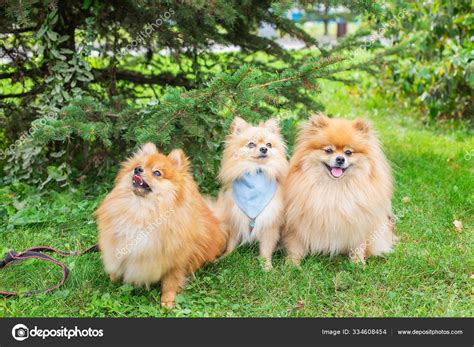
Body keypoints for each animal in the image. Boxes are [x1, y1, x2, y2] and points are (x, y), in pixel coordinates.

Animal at [95, 143, 227, 308]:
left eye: (157, 173)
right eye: (139, 166)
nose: (137, 170)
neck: (142, 211)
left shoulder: (175, 260)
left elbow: (170, 282)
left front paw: (167, 301)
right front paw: (113, 278)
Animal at [215, 118, 288, 270]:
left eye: (269, 144)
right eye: (251, 144)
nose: (264, 149)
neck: (256, 173)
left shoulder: (270, 223)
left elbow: (266, 248)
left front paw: (267, 266)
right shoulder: (236, 217)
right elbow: (232, 241)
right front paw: (225, 257)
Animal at [284, 115, 394, 266]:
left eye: (348, 152)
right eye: (329, 150)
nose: (340, 159)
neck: (335, 189)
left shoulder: (360, 222)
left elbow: (358, 245)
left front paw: (358, 263)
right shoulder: (297, 224)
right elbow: (296, 246)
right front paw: (292, 264)